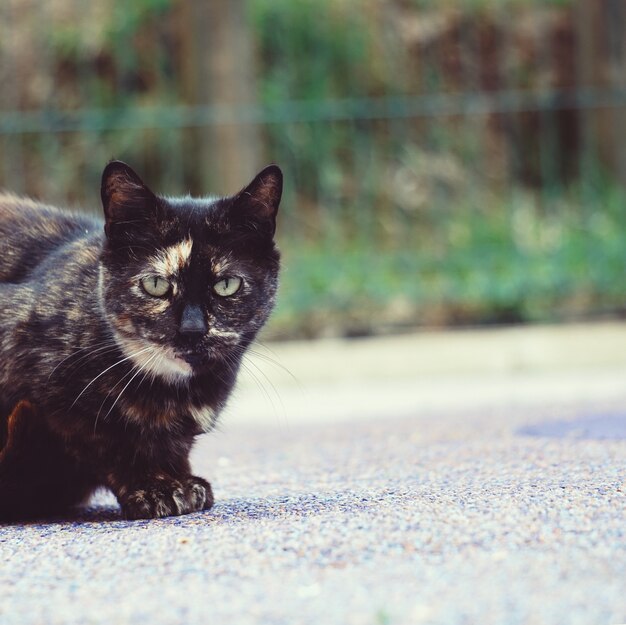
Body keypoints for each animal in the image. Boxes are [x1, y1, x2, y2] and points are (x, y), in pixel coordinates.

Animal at [0, 158, 280, 520]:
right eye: (155, 285)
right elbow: (102, 442)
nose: (192, 329)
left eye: (227, 285)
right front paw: (153, 486)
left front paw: (181, 479)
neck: (169, 395)